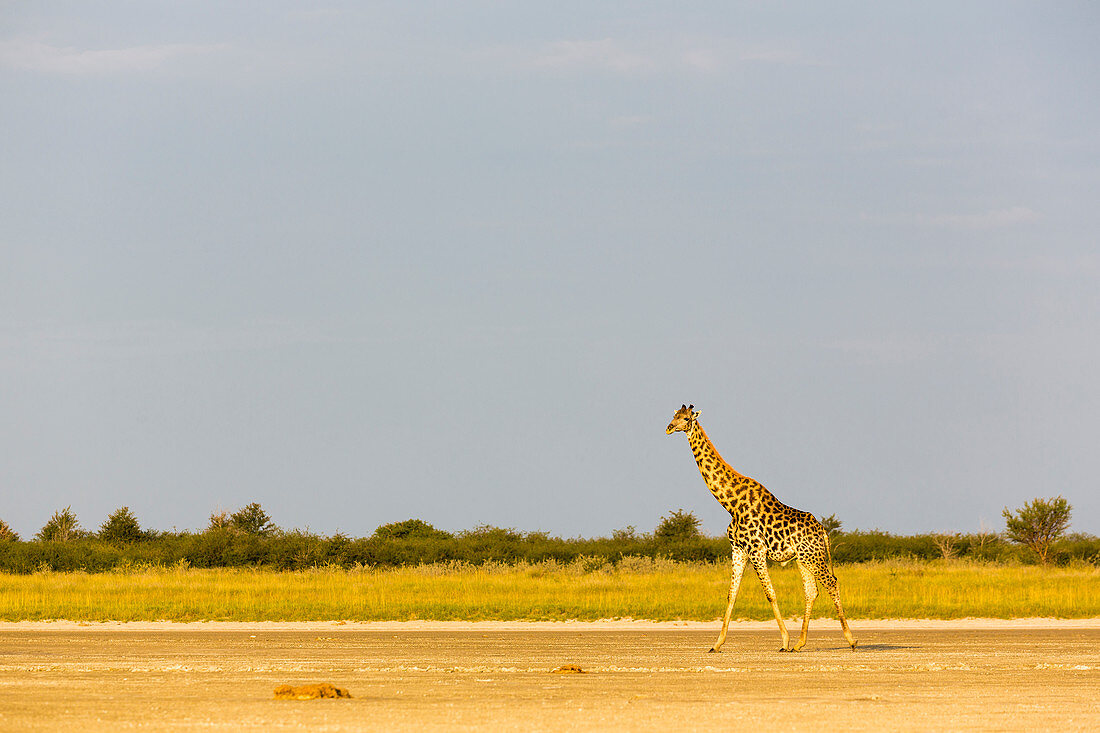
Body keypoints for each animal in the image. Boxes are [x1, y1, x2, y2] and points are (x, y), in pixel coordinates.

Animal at [660, 405, 858, 651]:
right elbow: (731, 595)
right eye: (674, 415)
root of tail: (823, 531)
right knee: (812, 592)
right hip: (803, 558)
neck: (731, 504)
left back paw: (851, 640)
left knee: (831, 582)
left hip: (814, 555)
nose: (669, 428)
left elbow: (770, 594)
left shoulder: (756, 550)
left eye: (686, 418)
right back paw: (800, 643)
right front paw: (717, 644)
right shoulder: (738, 549)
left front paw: (784, 641)